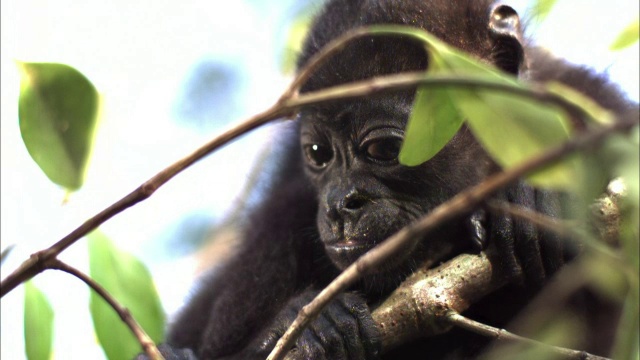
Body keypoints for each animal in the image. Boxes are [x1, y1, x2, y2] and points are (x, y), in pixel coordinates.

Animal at [141, 0, 636, 360]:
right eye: (319, 154)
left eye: (383, 151)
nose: (340, 204)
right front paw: (305, 325)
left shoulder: (588, 100)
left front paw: (538, 197)